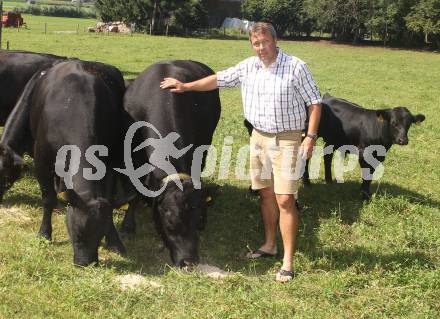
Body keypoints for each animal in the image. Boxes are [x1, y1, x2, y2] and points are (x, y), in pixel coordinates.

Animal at [0, 60, 127, 268]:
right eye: (77, 232)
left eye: (100, 235)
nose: (86, 263)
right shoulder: (42, 161)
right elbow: (48, 199)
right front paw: (44, 233)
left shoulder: (110, 162)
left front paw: (115, 241)